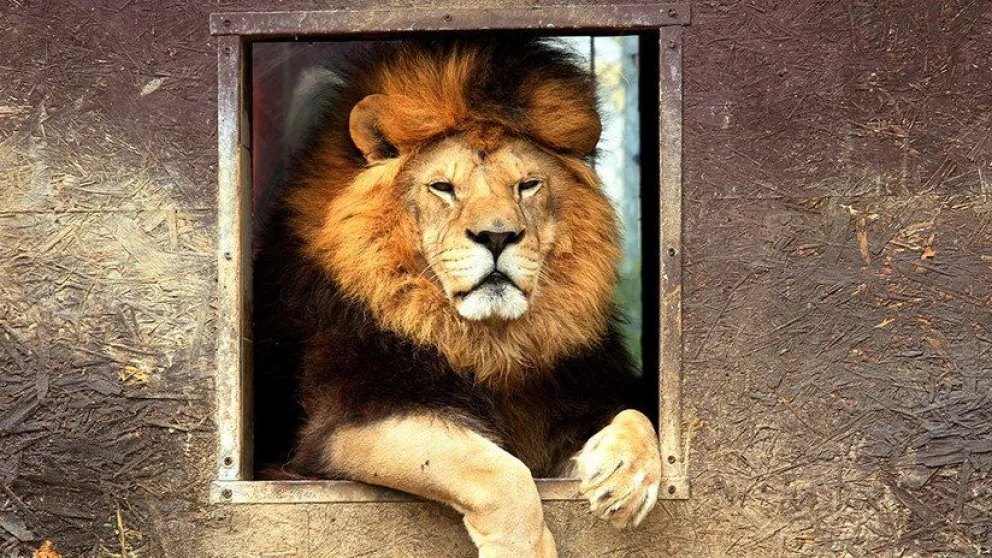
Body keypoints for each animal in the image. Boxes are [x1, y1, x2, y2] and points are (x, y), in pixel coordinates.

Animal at [253, 38, 662, 558]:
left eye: (528, 185)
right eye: (443, 188)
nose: (497, 235)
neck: (489, 342)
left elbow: (638, 415)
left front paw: (626, 478)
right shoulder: (348, 419)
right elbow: (495, 469)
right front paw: (523, 549)